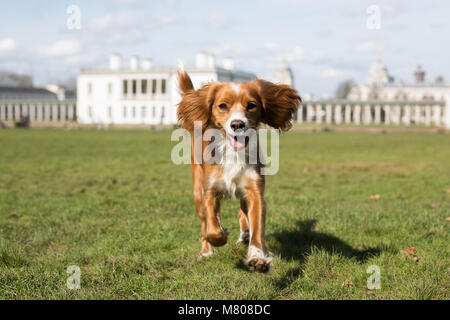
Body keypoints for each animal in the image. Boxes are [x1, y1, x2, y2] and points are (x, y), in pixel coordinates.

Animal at [178, 68, 300, 272]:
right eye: (222, 106)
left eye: (251, 105)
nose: (237, 124)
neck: (232, 152)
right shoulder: (209, 191)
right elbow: (212, 228)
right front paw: (220, 235)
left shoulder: (255, 191)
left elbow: (257, 228)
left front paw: (258, 257)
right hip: (196, 191)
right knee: (204, 224)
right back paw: (206, 251)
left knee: (243, 213)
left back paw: (246, 236)